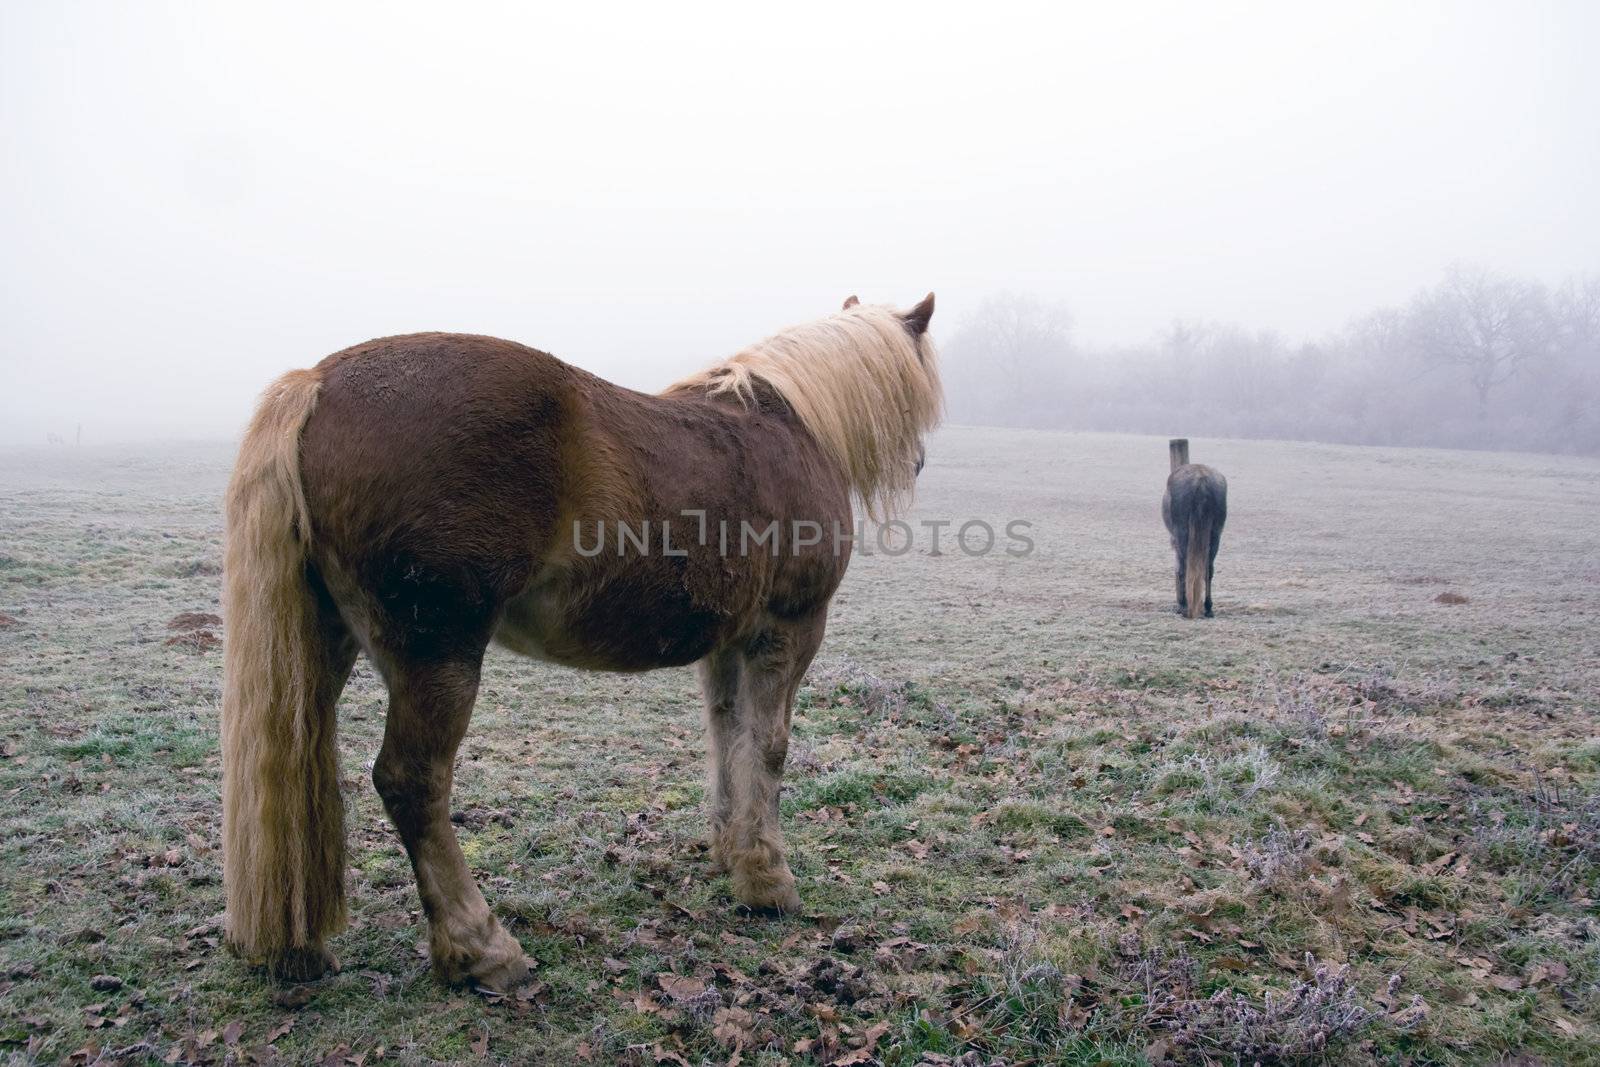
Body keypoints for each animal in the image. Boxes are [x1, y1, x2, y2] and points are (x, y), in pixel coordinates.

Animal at [227, 295, 947, 991]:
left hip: (326, 648)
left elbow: (728, 736)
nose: (919, 462)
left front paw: (730, 853)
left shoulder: (728, 643)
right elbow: (768, 748)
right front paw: (769, 882)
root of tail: (318, 382)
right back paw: (482, 948)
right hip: (437, 655)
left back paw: (299, 949)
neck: (795, 428)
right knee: (411, 782)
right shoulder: (790, 629)